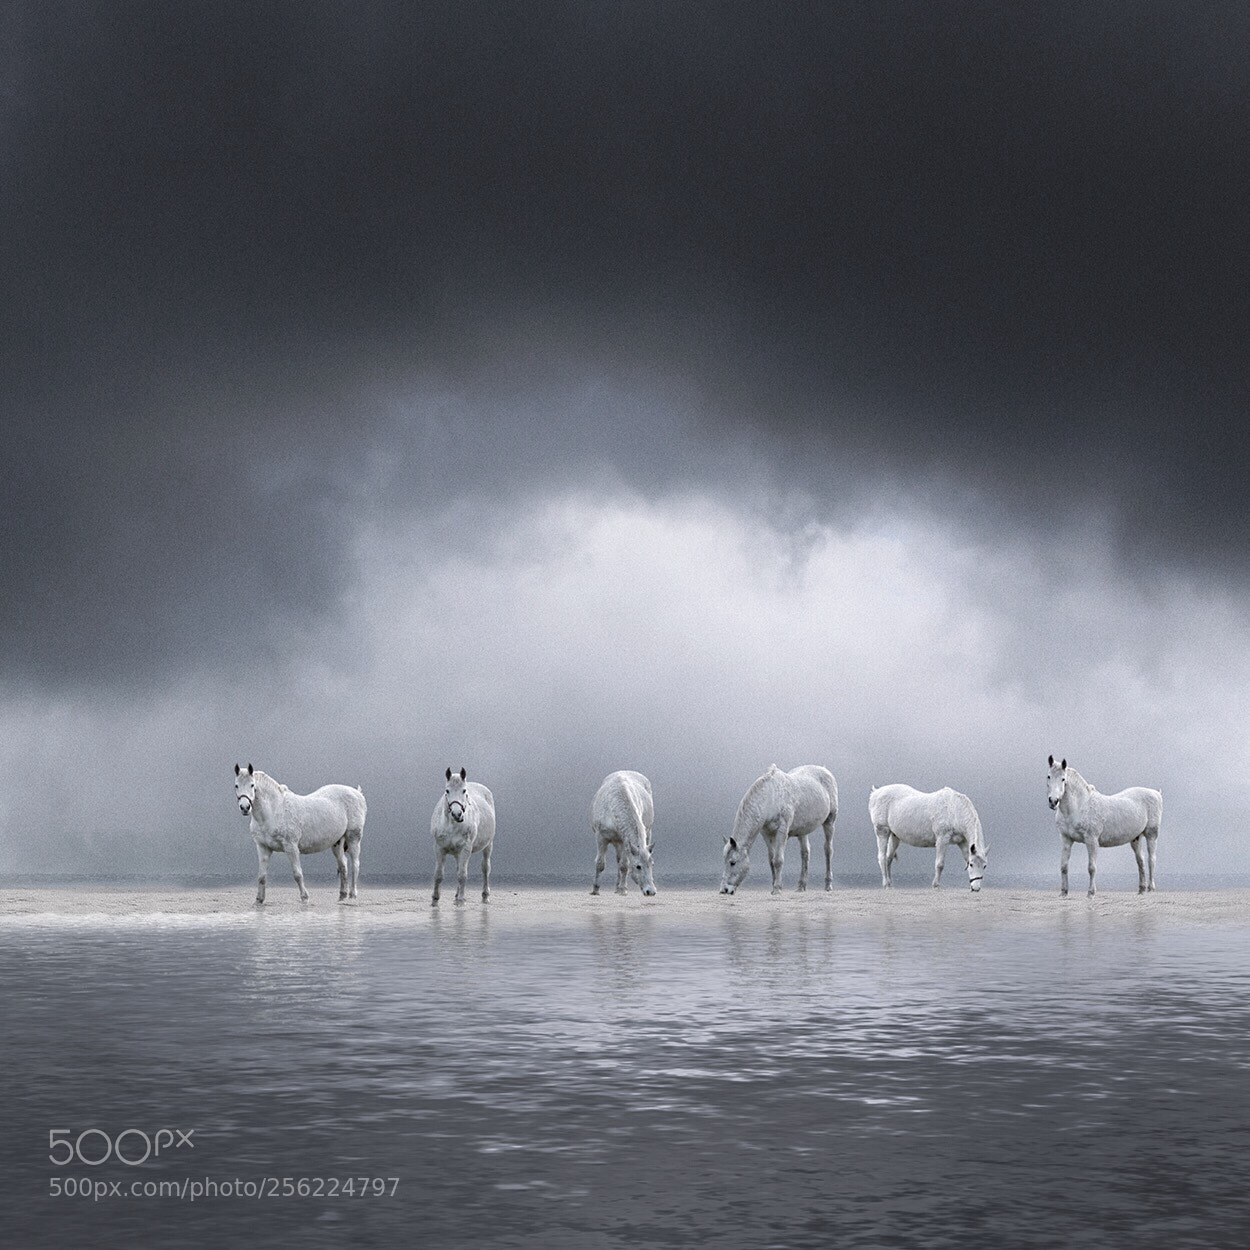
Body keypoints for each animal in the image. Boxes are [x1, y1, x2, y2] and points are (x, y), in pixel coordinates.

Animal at [233, 763, 366, 904]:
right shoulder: (263, 848)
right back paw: (342, 895)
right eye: (236, 785)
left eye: (252, 785)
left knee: (355, 864)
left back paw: (352, 895)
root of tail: (357, 793)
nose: (245, 807)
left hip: (353, 838)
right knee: (343, 865)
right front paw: (259, 899)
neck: (275, 811)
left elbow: (297, 874)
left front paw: (304, 897)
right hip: (337, 843)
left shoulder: (291, 847)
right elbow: (262, 876)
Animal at [431, 767, 496, 905]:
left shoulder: (465, 848)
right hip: (457, 853)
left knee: (485, 869)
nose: (457, 814)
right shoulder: (439, 848)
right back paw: (456, 894)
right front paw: (435, 899)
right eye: (447, 791)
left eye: (464, 791)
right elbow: (438, 874)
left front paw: (461, 900)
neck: (451, 825)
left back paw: (485, 895)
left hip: (488, 846)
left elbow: (462, 875)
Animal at [720, 764, 839, 895]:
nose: (724, 890)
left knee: (828, 850)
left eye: (733, 862)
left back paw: (828, 885)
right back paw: (801, 886)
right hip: (803, 830)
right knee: (805, 853)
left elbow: (778, 860)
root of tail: (824, 769)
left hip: (829, 822)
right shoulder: (767, 834)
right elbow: (772, 860)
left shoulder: (782, 831)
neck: (770, 797)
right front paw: (774, 886)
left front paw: (777, 889)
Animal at [1046, 756, 1161, 896]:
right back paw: (1141, 890)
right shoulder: (1066, 839)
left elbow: (1091, 867)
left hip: (1151, 835)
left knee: (1151, 860)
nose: (1053, 801)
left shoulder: (1091, 840)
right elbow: (1064, 866)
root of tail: (1156, 793)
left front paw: (1091, 893)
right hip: (1136, 838)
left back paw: (1151, 888)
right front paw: (1063, 893)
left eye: (1063, 779)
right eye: (1048, 776)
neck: (1080, 806)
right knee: (1141, 861)